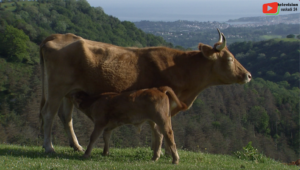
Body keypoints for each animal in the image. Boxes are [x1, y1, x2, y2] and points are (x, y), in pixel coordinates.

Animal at [39, 28, 251, 154]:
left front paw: (157, 151)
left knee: (66, 117)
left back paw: (76, 145)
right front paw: (160, 152)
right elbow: (160, 127)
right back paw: (49, 147)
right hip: (56, 88)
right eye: (229, 58)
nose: (248, 75)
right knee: (48, 114)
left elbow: (156, 126)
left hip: (69, 91)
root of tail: (58, 36)